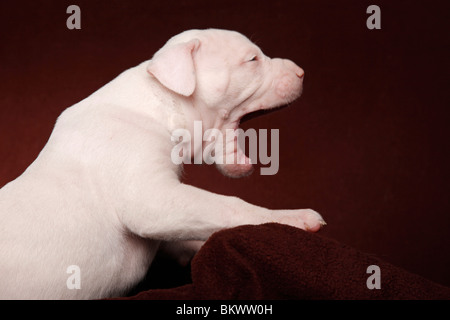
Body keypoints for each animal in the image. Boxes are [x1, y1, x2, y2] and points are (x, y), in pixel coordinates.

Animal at [0, 28, 324, 298]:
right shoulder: (152, 199)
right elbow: (227, 206)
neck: (160, 102)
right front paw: (292, 218)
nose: (301, 72)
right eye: (252, 59)